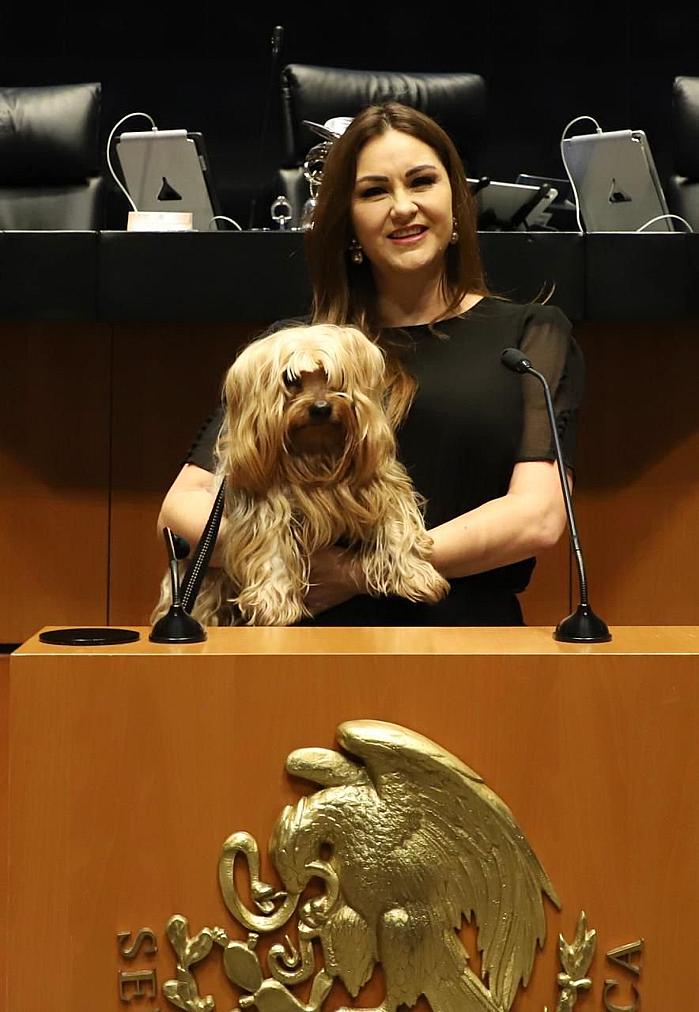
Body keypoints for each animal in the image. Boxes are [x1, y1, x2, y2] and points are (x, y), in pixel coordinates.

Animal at [159, 323, 449, 626]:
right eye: (291, 380)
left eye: (331, 376)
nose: (321, 408)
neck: (317, 452)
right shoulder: (268, 506)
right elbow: (272, 548)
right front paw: (273, 603)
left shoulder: (379, 487)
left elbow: (396, 526)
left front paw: (417, 575)